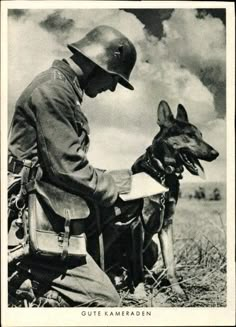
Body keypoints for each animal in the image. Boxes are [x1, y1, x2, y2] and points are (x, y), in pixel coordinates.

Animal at [106, 100, 218, 298]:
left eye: (201, 135)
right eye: (189, 135)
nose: (215, 153)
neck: (162, 174)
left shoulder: (166, 224)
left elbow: (170, 263)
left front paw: (178, 291)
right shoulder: (137, 224)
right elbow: (137, 264)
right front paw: (140, 293)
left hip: (153, 247)